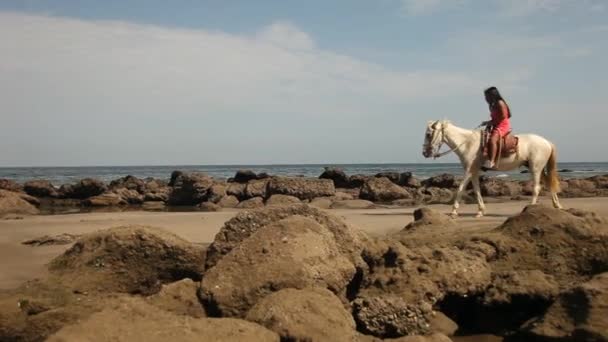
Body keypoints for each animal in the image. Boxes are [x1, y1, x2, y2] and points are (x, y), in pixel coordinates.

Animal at [422, 119, 560, 216]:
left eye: (428, 134)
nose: (425, 153)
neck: (467, 143)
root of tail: (547, 142)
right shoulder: (474, 171)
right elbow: (477, 190)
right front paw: (480, 211)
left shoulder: (468, 170)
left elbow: (461, 188)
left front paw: (454, 211)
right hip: (538, 168)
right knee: (549, 183)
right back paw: (557, 205)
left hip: (535, 168)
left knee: (536, 188)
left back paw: (530, 209)